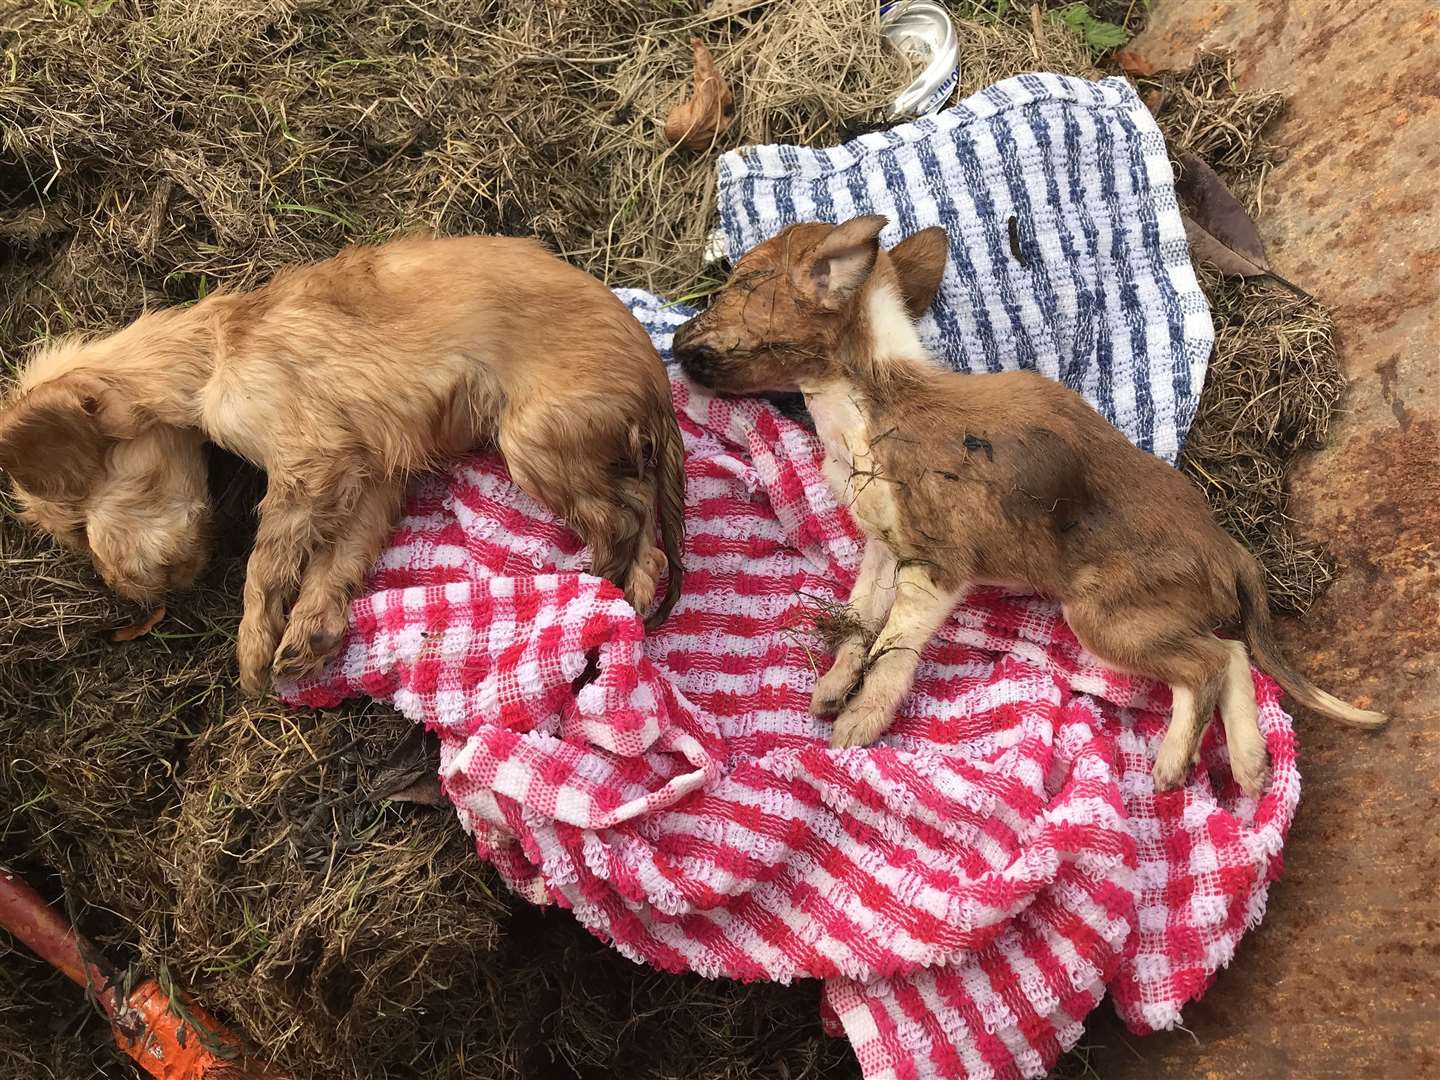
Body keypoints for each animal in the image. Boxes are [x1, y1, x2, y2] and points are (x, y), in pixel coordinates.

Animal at [1, 234, 685, 694]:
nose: (129, 598)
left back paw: (594, 592)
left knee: (624, 523)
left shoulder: (312, 462)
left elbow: (265, 565)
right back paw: (622, 598)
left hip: (534, 439)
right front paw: (309, 632)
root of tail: (655, 380)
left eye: (76, 524)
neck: (214, 350)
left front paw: (253, 648)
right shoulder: (369, 475)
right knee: (645, 525)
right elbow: (338, 559)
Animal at [673, 216, 1382, 800]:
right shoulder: (880, 546)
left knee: (1209, 663)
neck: (867, 399)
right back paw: (1252, 766)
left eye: (743, 280)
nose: (676, 336)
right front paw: (828, 689)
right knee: (1230, 657)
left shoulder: (935, 566)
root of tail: (1231, 550)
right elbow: (855, 625)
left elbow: (892, 650)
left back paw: (1173, 763)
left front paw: (857, 727)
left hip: (1103, 618)